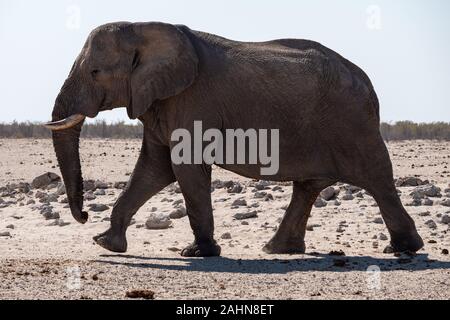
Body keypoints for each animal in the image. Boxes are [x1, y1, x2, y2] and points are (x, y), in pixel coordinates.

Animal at [44, 21, 424, 258]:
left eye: (95, 72)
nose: (83, 216)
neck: (143, 28)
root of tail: (368, 83)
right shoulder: (159, 102)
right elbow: (154, 169)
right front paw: (106, 244)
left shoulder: (191, 100)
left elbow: (185, 168)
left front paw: (198, 253)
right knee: (309, 187)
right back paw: (277, 249)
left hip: (353, 123)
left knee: (378, 180)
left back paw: (405, 249)